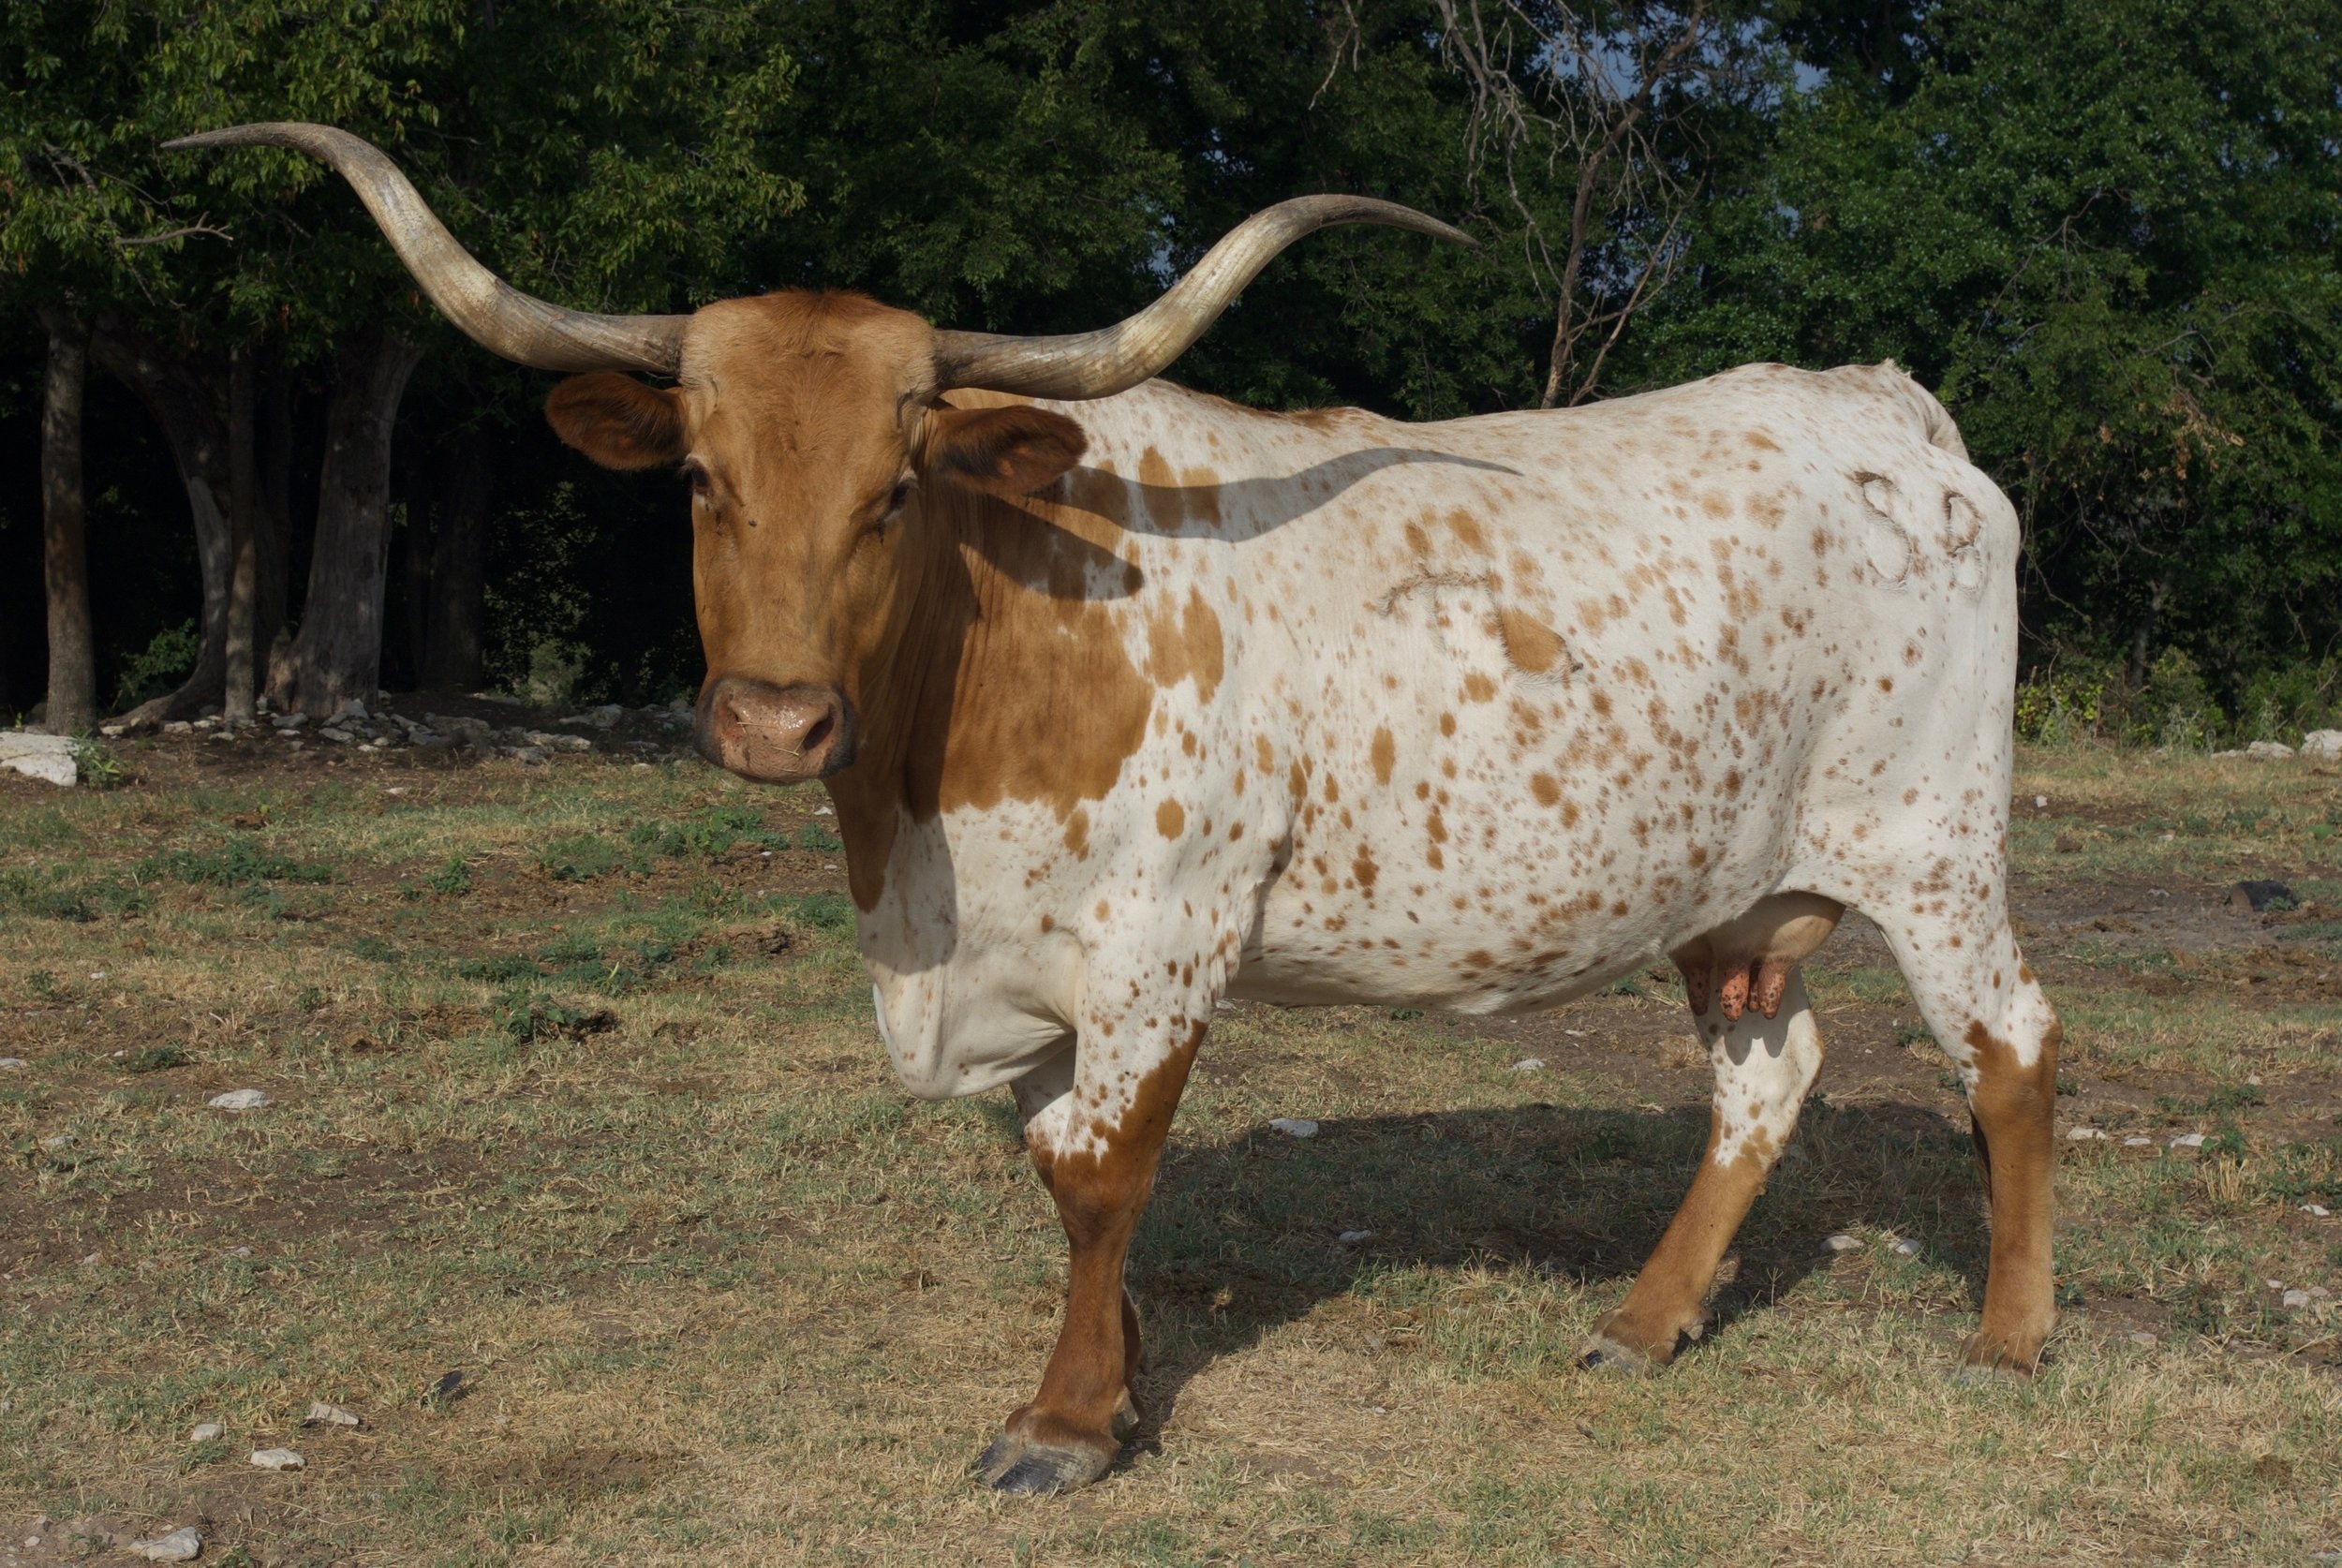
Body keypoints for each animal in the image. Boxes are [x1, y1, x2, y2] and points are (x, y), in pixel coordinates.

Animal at [173, 123, 2061, 1498]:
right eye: (703, 478)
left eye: (896, 488)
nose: (776, 720)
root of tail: (1883, 405)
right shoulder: (1021, 959)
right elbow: (1047, 1157)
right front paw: (1127, 1376)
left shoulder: (1166, 934)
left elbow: (1099, 1164)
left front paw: (1066, 1425)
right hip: (1728, 887)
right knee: (1770, 1069)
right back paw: (1648, 1321)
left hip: (1934, 843)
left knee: (2012, 1050)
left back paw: (2010, 1338)